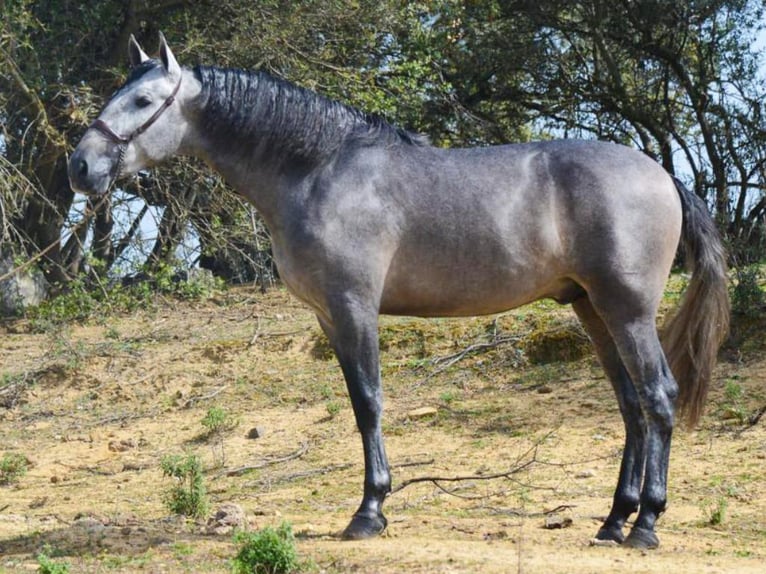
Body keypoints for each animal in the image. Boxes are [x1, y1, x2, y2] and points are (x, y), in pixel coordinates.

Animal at [70, 33, 732, 552]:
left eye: (143, 101)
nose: (81, 167)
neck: (317, 170)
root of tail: (663, 174)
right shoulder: (329, 319)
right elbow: (359, 404)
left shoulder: (354, 307)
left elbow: (368, 403)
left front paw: (369, 512)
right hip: (593, 309)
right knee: (631, 405)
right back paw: (613, 521)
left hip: (628, 310)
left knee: (659, 396)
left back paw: (646, 525)